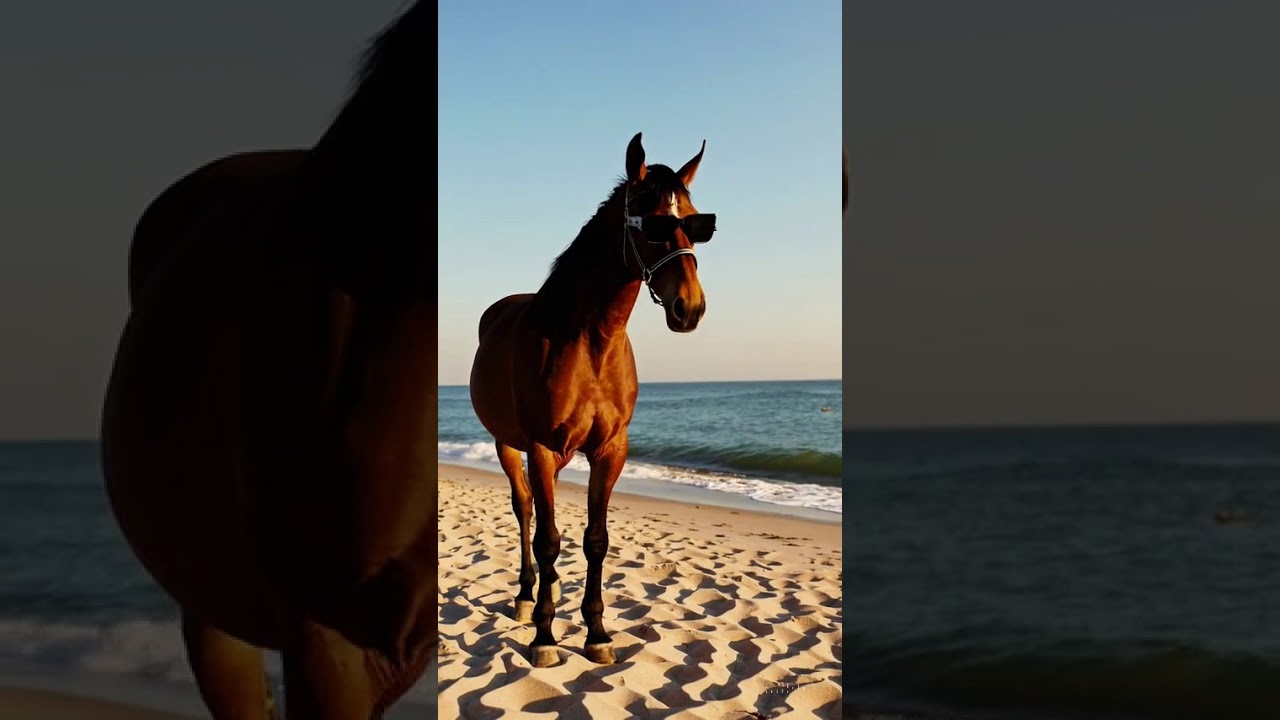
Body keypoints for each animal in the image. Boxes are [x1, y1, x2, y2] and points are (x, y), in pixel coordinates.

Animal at [469, 132, 715, 668]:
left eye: (695, 220)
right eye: (651, 220)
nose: (690, 308)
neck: (589, 343)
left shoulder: (609, 450)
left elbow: (594, 540)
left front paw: (596, 632)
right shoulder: (540, 448)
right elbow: (547, 539)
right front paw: (544, 637)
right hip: (508, 445)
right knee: (525, 510)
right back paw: (527, 596)